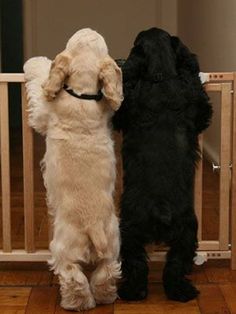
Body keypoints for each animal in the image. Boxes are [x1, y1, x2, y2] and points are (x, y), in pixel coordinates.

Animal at [23, 28, 122, 312]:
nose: (89, 28)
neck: (82, 94)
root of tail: (93, 226)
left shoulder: (43, 114)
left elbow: (40, 84)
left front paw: (34, 62)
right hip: (112, 244)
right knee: (106, 273)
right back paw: (105, 297)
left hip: (63, 248)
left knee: (72, 276)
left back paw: (76, 303)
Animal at [113, 28, 213, 302]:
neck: (161, 76)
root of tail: (161, 209)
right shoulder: (198, 107)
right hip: (187, 232)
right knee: (176, 265)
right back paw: (182, 291)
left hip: (128, 229)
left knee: (136, 264)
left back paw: (132, 291)